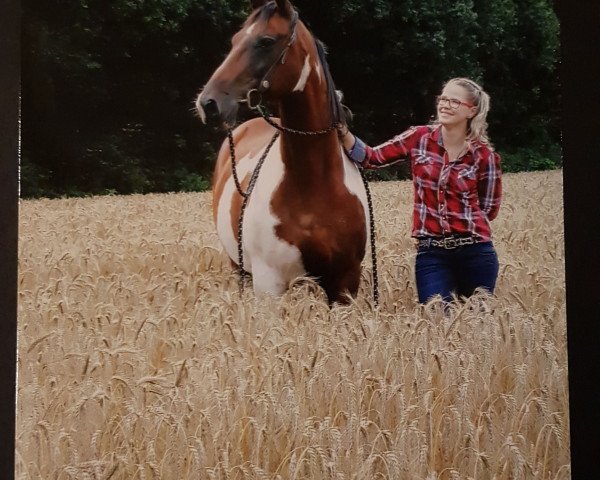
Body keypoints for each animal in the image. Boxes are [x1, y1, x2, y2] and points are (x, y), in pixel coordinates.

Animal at [197, 0, 372, 304]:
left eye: (265, 41)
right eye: (235, 40)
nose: (208, 103)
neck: (313, 184)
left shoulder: (345, 283)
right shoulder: (269, 285)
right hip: (239, 268)